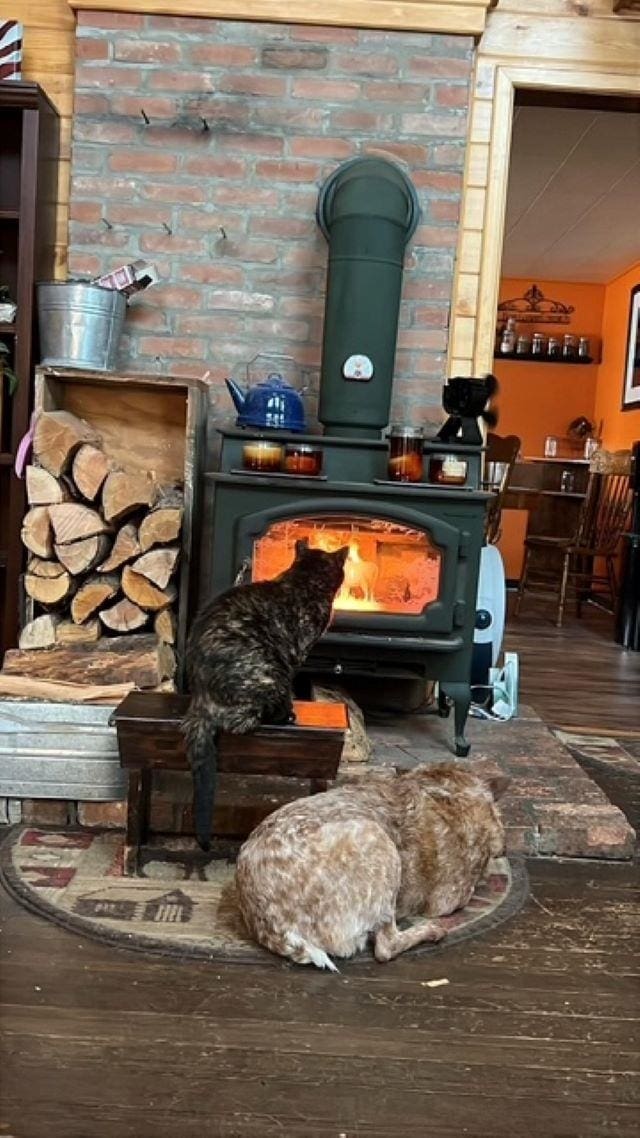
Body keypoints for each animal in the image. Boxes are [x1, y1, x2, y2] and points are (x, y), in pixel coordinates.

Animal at [182, 539, 346, 846]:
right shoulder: (296, 652)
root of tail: (201, 701)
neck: (301, 581)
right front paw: (292, 710)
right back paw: (285, 717)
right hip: (271, 673)